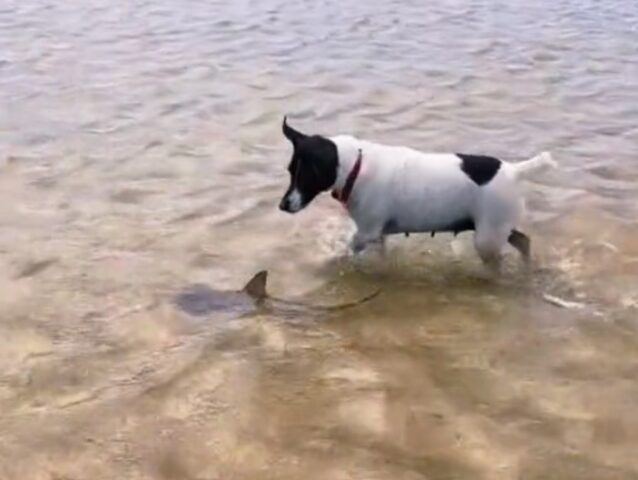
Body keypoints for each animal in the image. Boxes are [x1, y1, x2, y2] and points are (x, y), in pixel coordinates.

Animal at [278, 116, 556, 266]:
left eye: (308, 174)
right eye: (290, 170)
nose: (283, 205)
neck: (355, 167)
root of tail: (513, 170)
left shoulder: (367, 232)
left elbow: (350, 246)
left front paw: (332, 260)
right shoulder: (378, 234)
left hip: (487, 236)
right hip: (497, 228)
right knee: (523, 240)